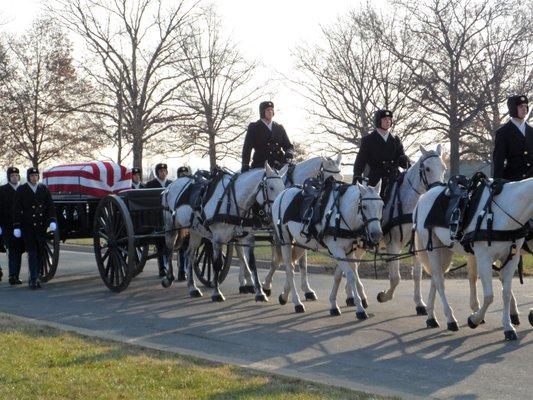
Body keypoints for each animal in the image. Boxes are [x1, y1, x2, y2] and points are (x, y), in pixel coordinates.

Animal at [162, 164, 286, 302]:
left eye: (283, 187)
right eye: (271, 187)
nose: (277, 213)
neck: (232, 201)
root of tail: (171, 185)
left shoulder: (247, 238)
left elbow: (252, 264)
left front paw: (260, 292)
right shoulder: (217, 239)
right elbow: (217, 264)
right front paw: (216, 293)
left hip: (195, 232)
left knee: (189, 255)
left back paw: (192, 287)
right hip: (170, 227)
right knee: (168, 249)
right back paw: (168, 278)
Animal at [256, 155, 340, 298]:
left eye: (342, 177)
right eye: (330, 179)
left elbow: (302, 263)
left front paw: (306, 289)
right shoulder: (279, 232)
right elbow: (279, 260)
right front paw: (267, 285)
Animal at [270, 180, 382, 318]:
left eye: (382, 205)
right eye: (364, 206)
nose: (377, 235)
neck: (341, 214)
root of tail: (283, 193)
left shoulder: (348, 250)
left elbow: (343, 275)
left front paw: (334, 304)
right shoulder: (337, 250)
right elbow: (351, 275)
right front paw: (360, 308)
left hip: (299, 243)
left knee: (293, 264)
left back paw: (285, 295)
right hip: (285, 241)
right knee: (289, 269)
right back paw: (297, 303)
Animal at [416, 177, 532, 340]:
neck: (507, 209)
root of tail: (424, 196)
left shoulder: (511, 259)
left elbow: (506, 294)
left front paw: (508, 327)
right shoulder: (484, 259)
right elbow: (489, 296)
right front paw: (474, 319)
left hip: (444, 250)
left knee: (435, 278)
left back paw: (431, 317)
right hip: (432, 247)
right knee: (439, 281)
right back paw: (450, 319)